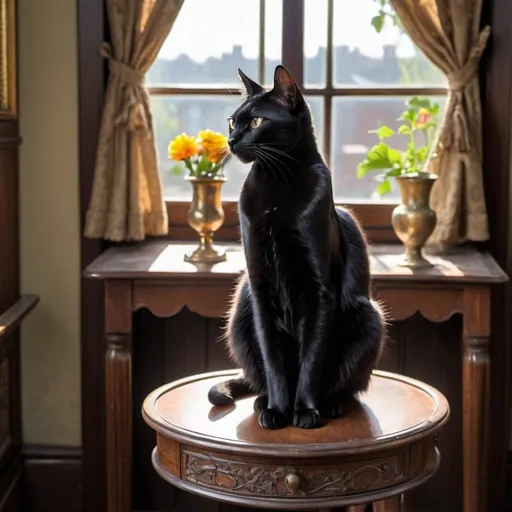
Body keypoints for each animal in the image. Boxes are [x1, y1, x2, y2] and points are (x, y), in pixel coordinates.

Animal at [207, 66, 384, 430]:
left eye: (257, 121)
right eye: (232, 122)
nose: (232, 140)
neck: (277, 186)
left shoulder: (320, 291)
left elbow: (311, 359)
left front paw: (304, 411)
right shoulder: (259, 289)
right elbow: (273, 358)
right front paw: (277, 409)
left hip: (369, 317)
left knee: (345, 383)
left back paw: (330, 404)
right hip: (240, 313)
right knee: (257, 374)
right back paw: (262, 401)